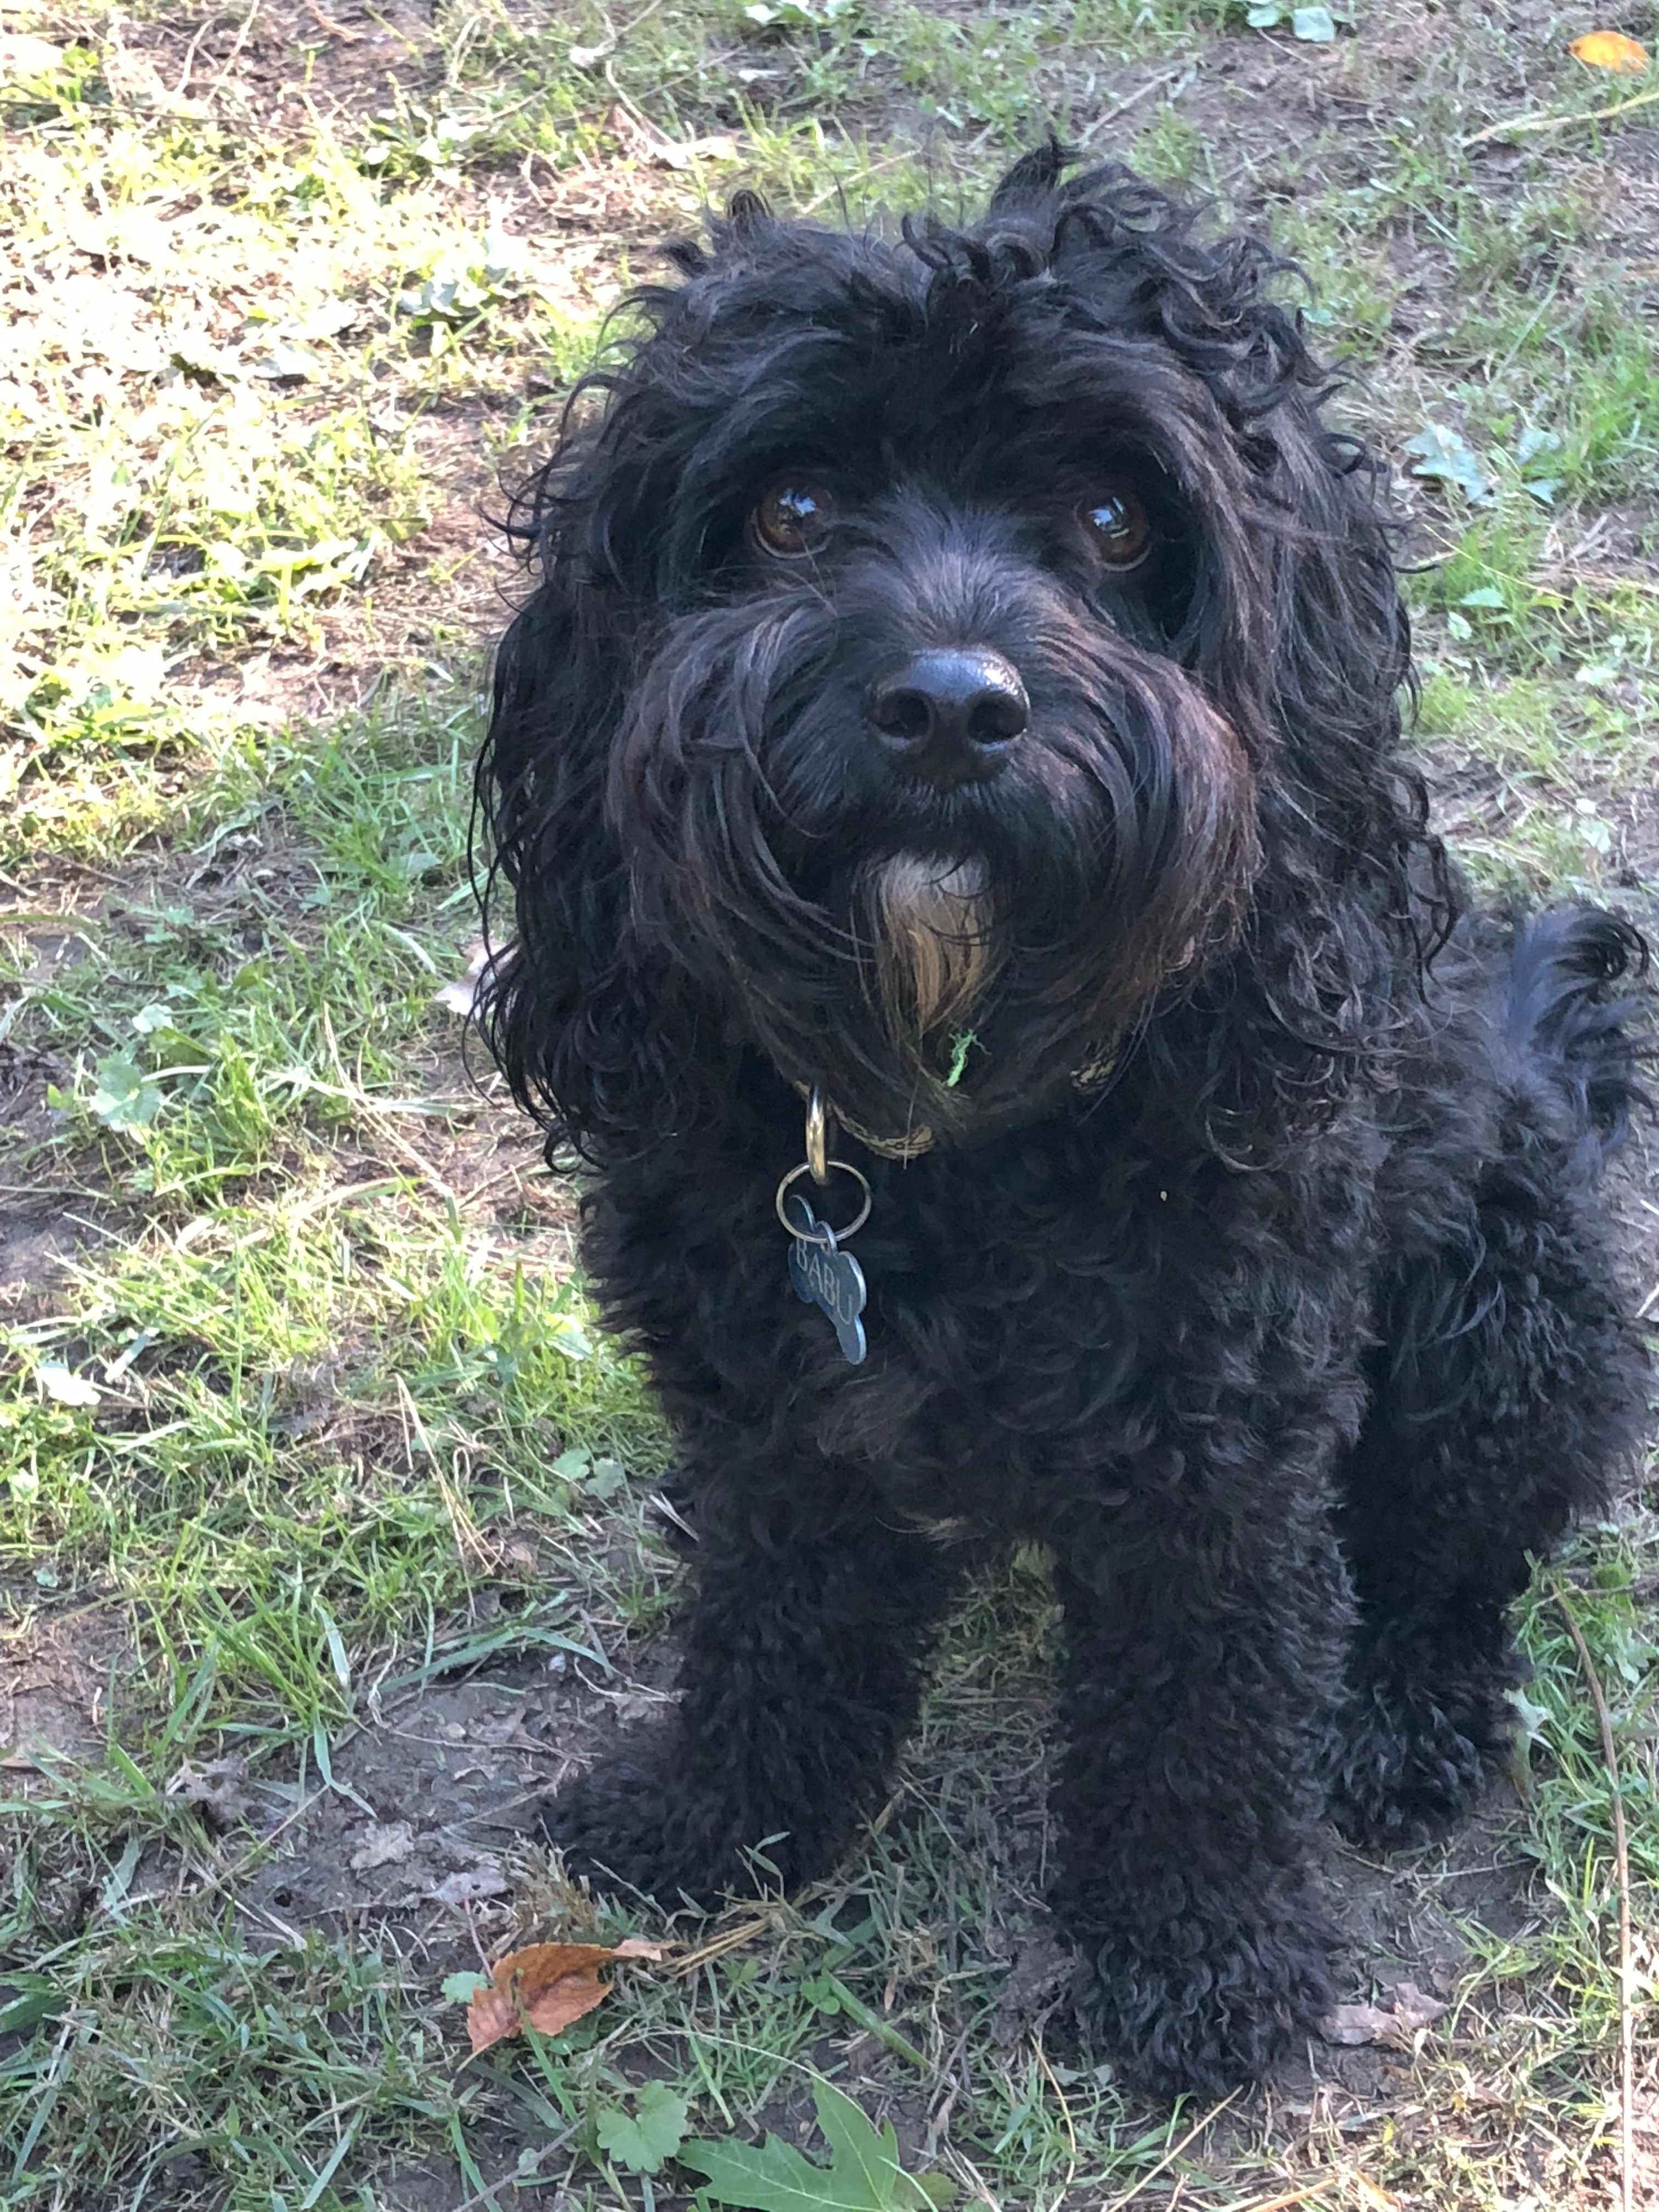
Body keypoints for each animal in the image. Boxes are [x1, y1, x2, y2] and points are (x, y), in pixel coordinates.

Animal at [472, 145, 1650, 2096]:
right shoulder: (773, 1419)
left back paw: (1398, 1717)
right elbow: (773, 1619)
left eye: (1112, 521)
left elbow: (1205, 1715)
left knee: (1446, 1567)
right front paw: (723, 1817)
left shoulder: (1223, 1460)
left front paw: (1199, 1965)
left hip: (1506, 1332)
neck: (949, 1119)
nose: (952, 709)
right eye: (791, 510)